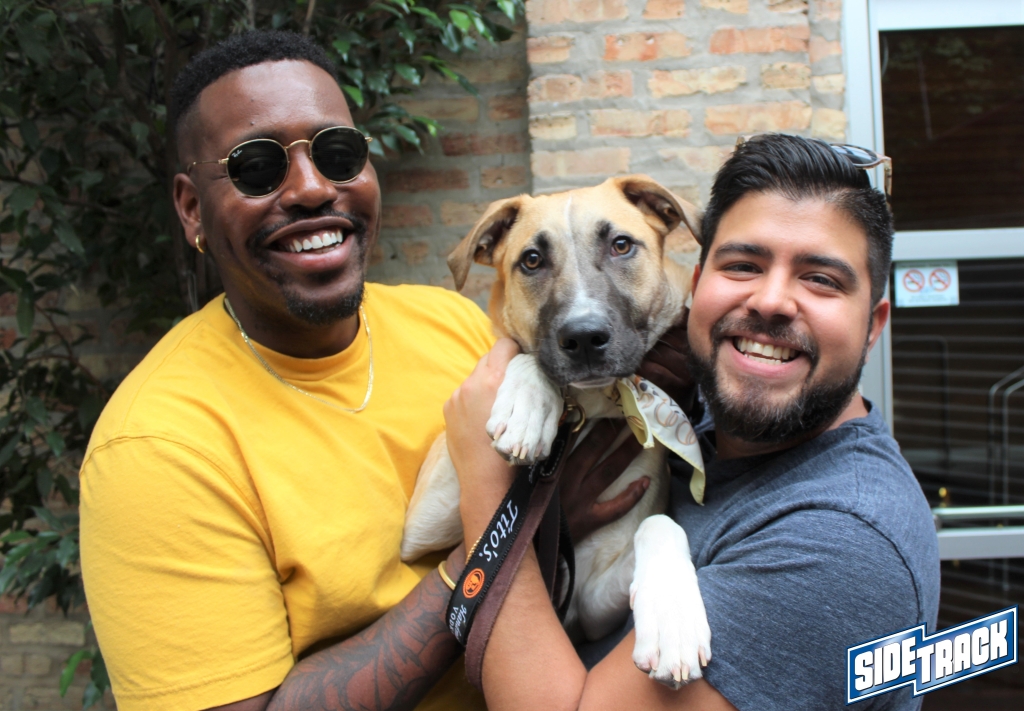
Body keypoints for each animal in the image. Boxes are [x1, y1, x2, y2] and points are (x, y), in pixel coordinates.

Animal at [401, 175, 711, 686]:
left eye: (621, 245)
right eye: (531, 260)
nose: (583, 338)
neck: (588, 409)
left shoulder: (591, 605)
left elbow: (660, 522)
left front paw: (672, 620)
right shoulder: (420, 525)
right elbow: (524, 355)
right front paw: (527, 406)